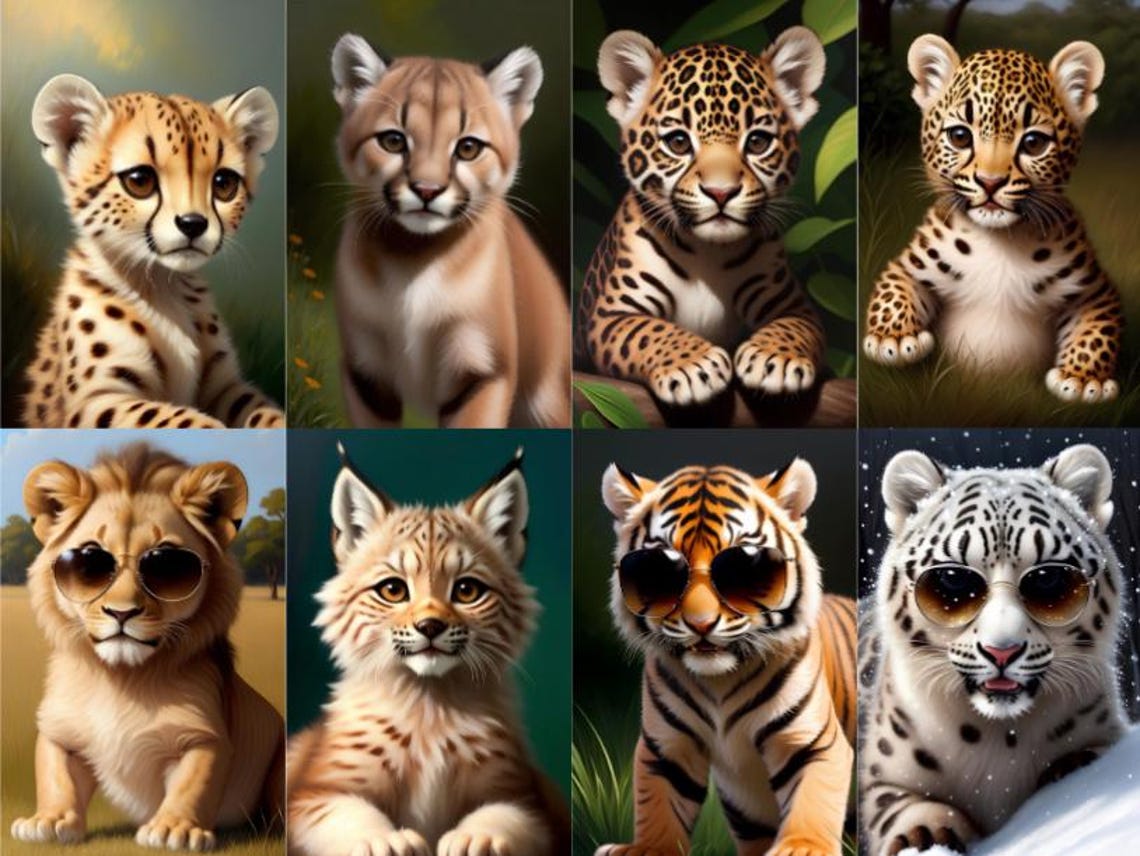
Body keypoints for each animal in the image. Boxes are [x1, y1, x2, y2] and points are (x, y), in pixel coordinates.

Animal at [21, 74, 285, 428]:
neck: (162, 284)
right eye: (139, 180)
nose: (193, 224)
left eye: (224, 183)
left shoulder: (225, 387)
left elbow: (263, 411)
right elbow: (179, 419)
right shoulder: (94, 401)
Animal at [576, 27, 830, 408]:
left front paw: (776, 359)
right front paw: (693, 365)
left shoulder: (793, 304)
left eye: (758, 142)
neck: (707, 252)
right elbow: (647, 332)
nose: (720, 192)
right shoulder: (611, 316)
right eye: (678, 142)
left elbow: (794, 327)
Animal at [859, 443, 1128, 855]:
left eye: (1048, 579)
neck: (1000, 739)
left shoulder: (1105, 734)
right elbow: (900, 809)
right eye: (952, 580)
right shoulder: (883, 778)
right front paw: (926, 838)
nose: (1002, 650)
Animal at [863, 36, 1123, 404]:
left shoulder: (1096, 292)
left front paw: (1084, 378)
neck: (999, 243)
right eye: (959, 136)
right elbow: (892, 291)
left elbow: (1096, 330)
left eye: (1033, 142)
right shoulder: (908, 264)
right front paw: (893, 340)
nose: (990, 182)